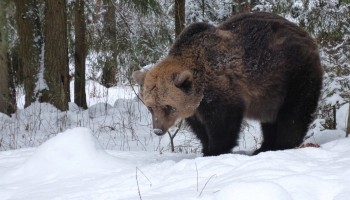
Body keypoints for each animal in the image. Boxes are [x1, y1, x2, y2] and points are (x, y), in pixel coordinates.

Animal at [133, 12, 322, 156]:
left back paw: (282, 144)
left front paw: (215, 150)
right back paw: (264, 146)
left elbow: (223, 125)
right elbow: (200, 129)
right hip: (271, 92)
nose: (158, 130)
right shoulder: (196, 107)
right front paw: (205, 148)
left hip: (293, 74)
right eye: (150, 107)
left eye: (168, 106)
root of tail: (308, 36)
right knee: (270, 119)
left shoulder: (221, 89)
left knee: (294, 113)